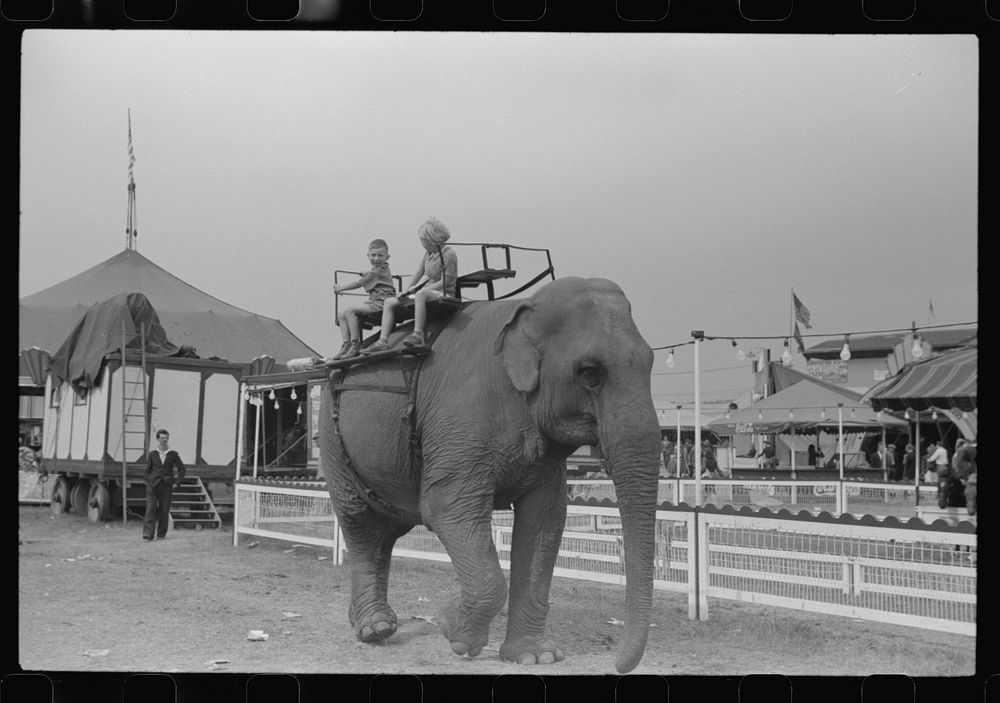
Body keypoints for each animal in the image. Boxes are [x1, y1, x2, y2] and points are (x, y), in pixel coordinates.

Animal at [318, 276, 664, 676]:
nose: (617, 664)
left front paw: (536, 657)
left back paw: (370, 621)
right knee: (359, 522)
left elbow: (544, 523)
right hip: (333, 442)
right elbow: (446, 509)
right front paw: (451, 628)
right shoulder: (459, 424)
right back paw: (375, 629)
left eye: (651, 362)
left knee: (384, 534)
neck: (525, 309)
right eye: (590, 372)